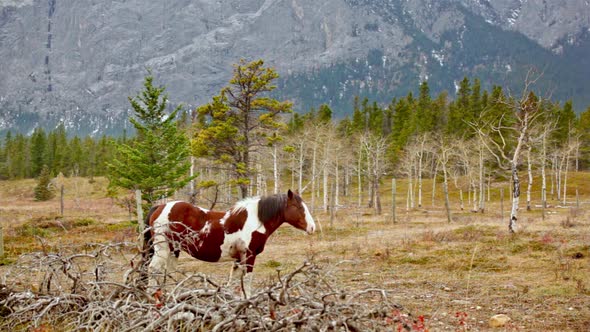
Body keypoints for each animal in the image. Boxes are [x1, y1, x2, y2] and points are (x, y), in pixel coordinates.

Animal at [143, 189, 316, 296]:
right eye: (297, 207)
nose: (312, 227)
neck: (255, 220)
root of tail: (159, 207)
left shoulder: (238, 258)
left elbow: (234, 280)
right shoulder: (249, 256)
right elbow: (247, 281)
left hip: (174, 250)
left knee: (169, 273)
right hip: (162, 249)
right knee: (153, 270)